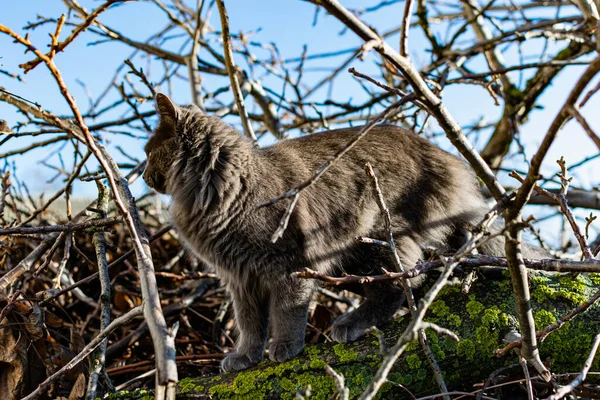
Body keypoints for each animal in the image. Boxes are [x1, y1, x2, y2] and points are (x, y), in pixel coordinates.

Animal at [143, 93, 548, 372]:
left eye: (148, 152)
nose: (144, 175)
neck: (219, 191)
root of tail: (444, 157)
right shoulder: (241, 277)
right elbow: (249, 323)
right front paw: (245, 356)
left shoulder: (287, 264)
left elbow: (286, 312)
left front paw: (284, 348)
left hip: (380, 235)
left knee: (401, 283)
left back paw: (350, 323)